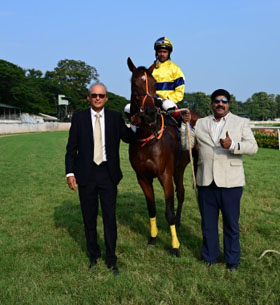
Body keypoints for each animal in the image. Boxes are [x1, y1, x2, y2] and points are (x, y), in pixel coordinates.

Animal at [127, 57, 201, 256]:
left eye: (154, 84)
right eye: (134, 83)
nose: (151, 113)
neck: (148, 139)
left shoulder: (165, 175)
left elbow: (168, 212)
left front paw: (175, 246)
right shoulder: (142, 177)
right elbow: (151, 208)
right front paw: (153, 238)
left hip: (185, 166)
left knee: (183, 192)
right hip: (178, 167)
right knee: (181, 192)